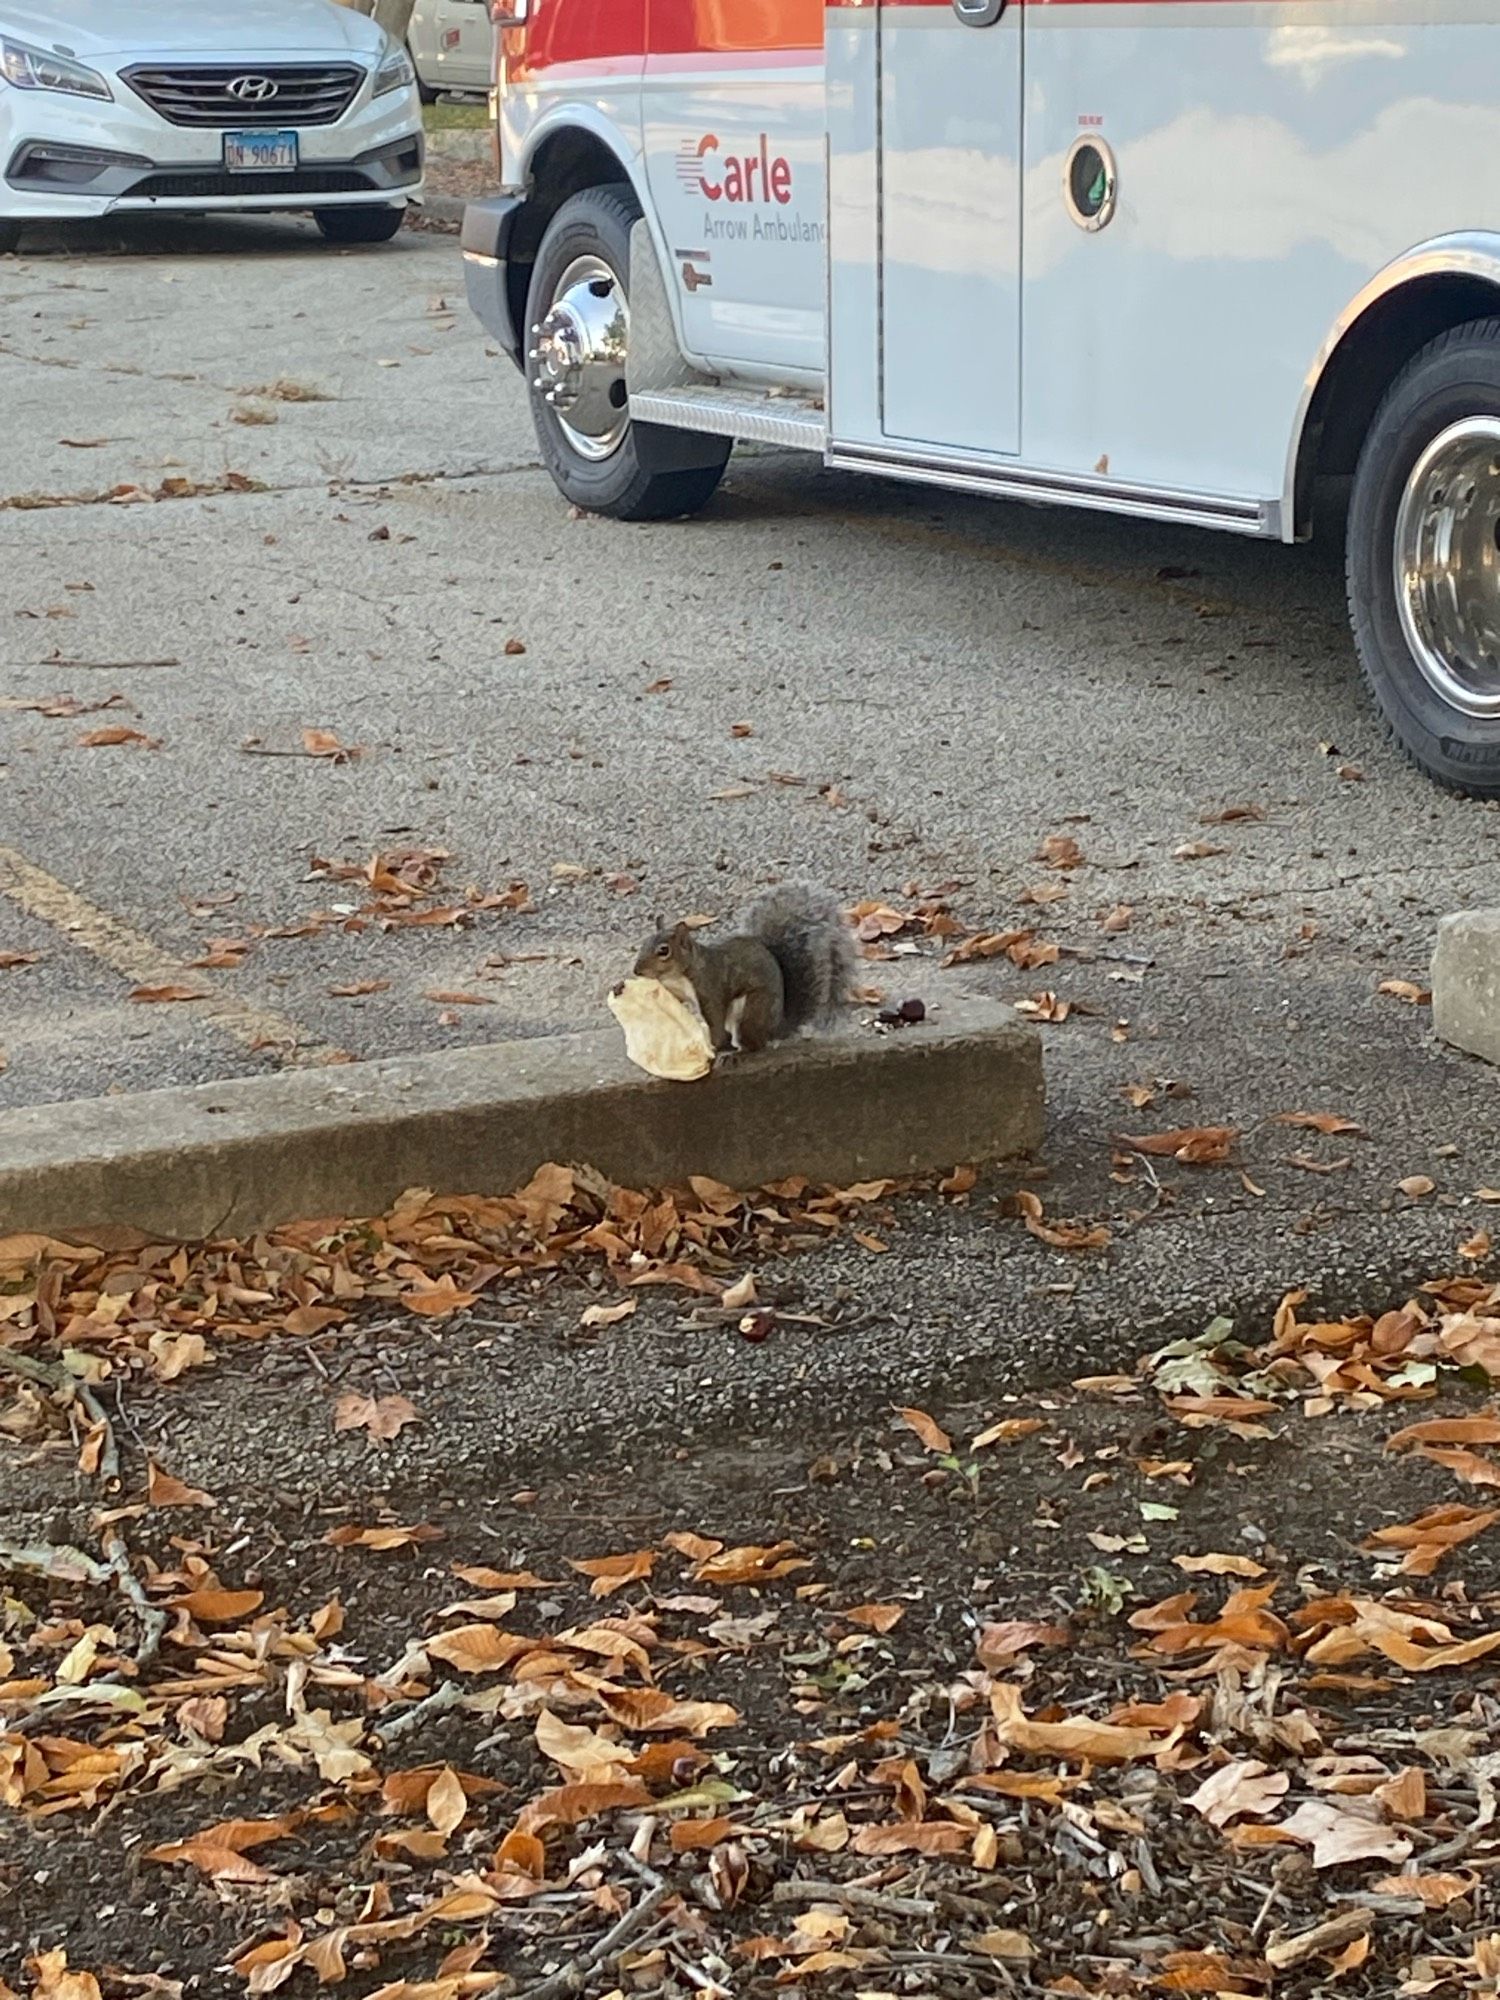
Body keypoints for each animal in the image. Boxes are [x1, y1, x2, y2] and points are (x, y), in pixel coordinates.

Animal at [636, 884, 856, 1056]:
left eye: (663, 951)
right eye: (644, 942)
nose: (637, 970)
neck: (679, 975)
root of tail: (776, 1028)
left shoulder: (710, 988)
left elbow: (716, 1019)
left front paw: (713, 1048)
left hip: (751, 1010)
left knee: (754, 1044)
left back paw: (736, 1053)